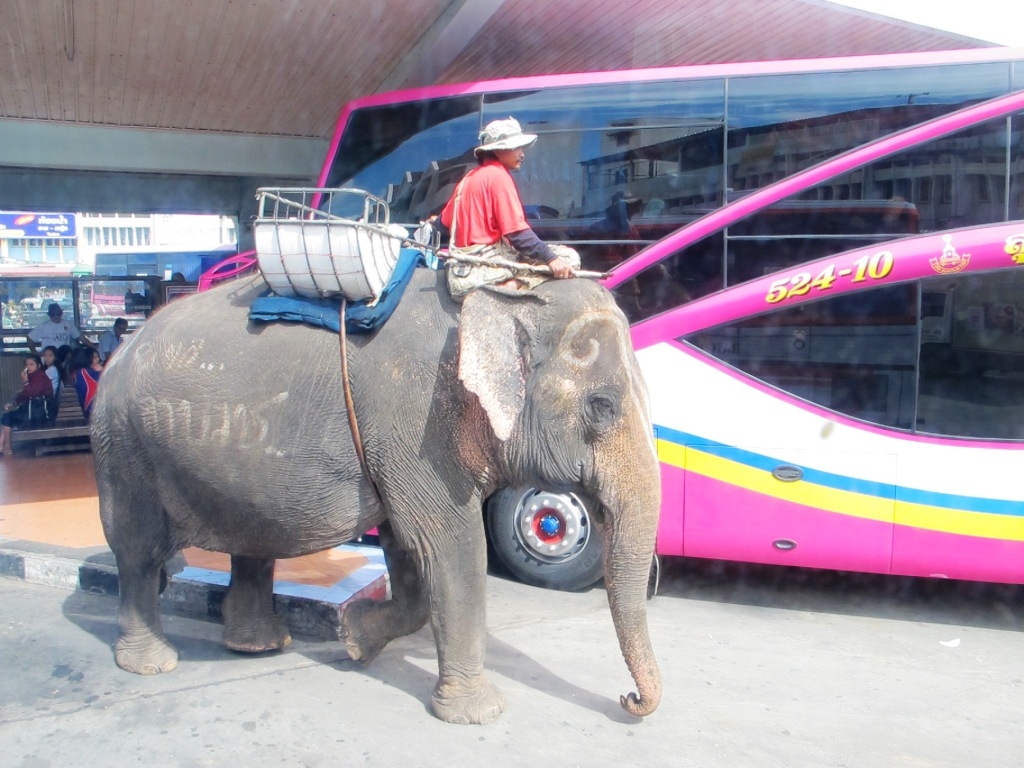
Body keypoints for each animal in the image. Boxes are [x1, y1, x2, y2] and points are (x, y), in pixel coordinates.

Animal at [92, 268, 659, 724]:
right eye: (602, 407)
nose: (629, 700)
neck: (503, 296)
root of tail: (119, 349)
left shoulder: (402, 444)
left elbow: (407, 553)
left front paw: (354, 641)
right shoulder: (417, 424)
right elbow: (450, 548)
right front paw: (479, 715)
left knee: (251, 539)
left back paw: (259, 646)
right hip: (124, 449)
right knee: (139, 553)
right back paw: (151, 663)